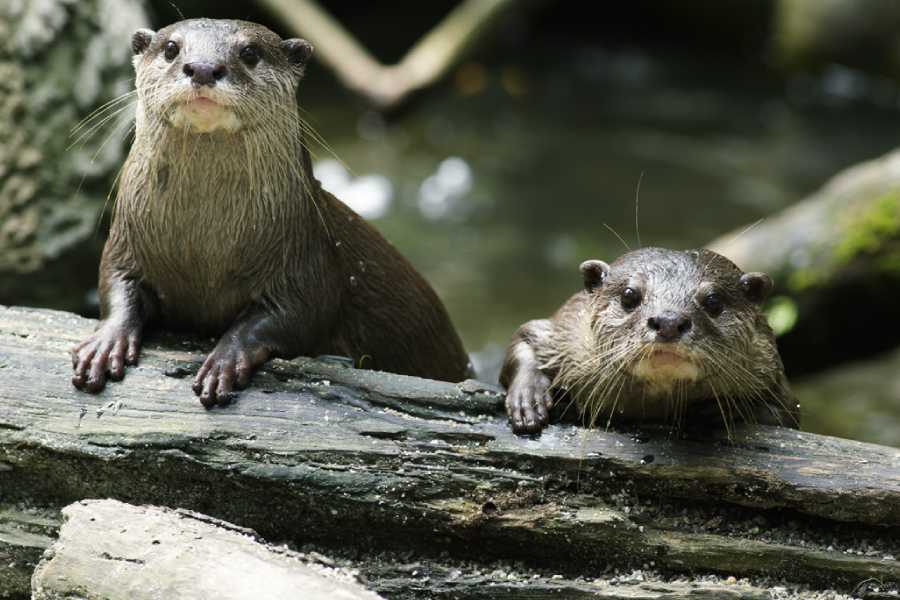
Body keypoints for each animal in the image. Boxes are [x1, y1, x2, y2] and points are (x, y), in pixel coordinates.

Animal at [71, 19, 470, 405]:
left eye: (250, 52)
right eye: (171, 48)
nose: (203, 68)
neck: (205, 250)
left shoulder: (307, 257)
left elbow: (294, 314)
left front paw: (223, 361)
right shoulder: (125, 241)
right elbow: (115, 283)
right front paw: (104, 345)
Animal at [500, 247, 798, 435]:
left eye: (713, 301)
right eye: (629, 295)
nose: (668, 321)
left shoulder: (769, 366)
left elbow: (786, 414)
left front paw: (719, 409)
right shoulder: (567, 330)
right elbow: (526, 333)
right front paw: (528, 398)